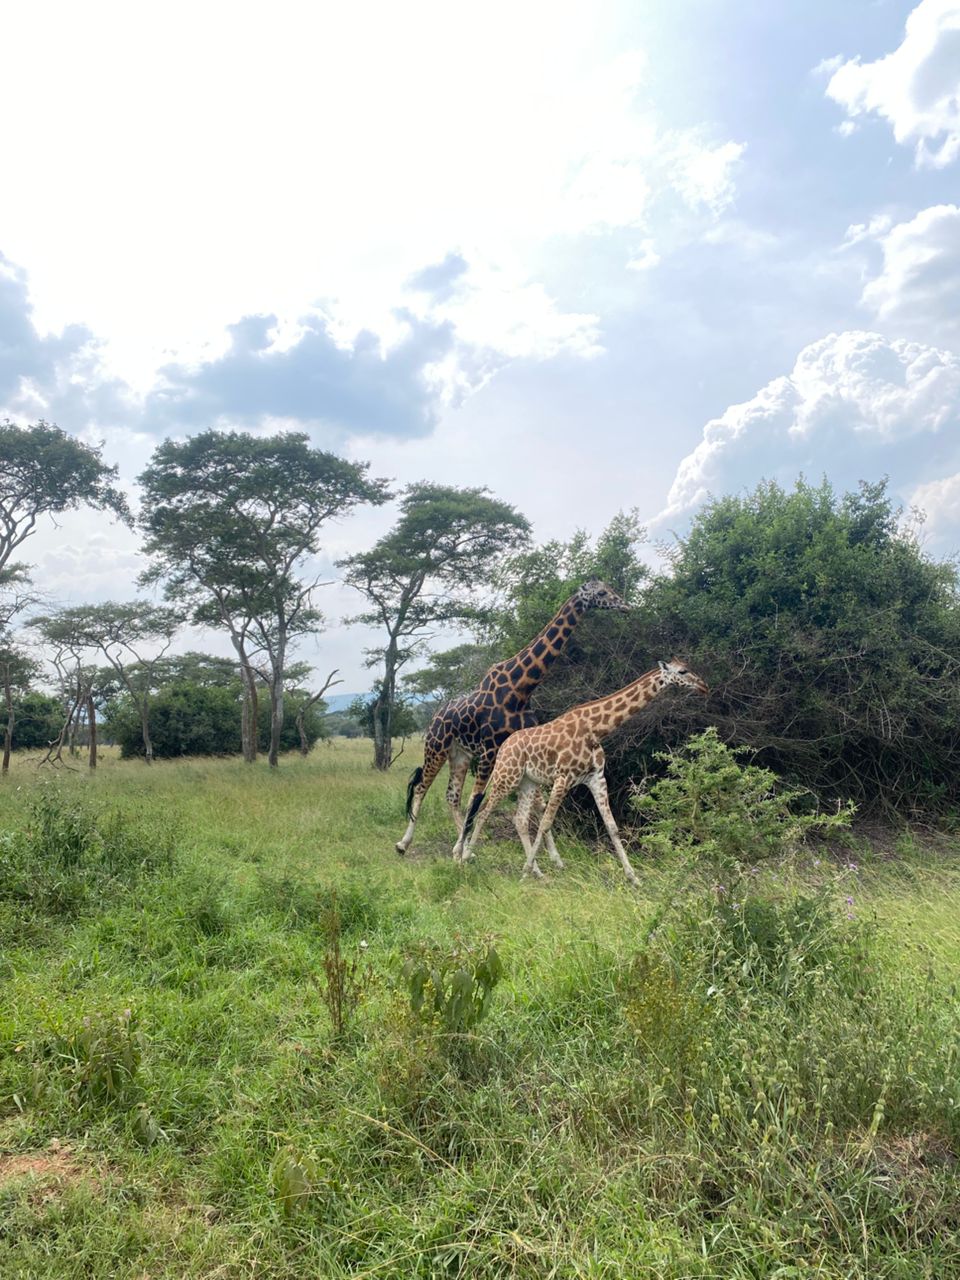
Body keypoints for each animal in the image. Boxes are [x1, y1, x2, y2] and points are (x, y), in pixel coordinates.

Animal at [395, 579, 629, 857]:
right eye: (602, 592)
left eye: (610, 588)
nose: (625, 605)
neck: (520, 689)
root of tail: (434, 717)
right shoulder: (489, 750)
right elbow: (477, 799)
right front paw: (465, 851)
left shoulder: (520, 748)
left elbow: (537, 804)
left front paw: (548, 855)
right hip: (436, 747)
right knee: (423, 787)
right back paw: (404, 844)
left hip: (460, 754)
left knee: (452, 795)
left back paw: (457, 846)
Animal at [456, 659, 709, 884]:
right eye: (682, 671)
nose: (704, 686)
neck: (595, 729)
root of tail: (503, 748)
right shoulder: (563, 777)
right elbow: (546, 823)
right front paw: (525, 872)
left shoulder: (596, 778)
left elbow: (612, 827)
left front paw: (634, 878)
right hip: (507, 777)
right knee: (484, 812)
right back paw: (467, 858)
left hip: (528, 782)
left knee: (519, 819)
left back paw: (538, 872)